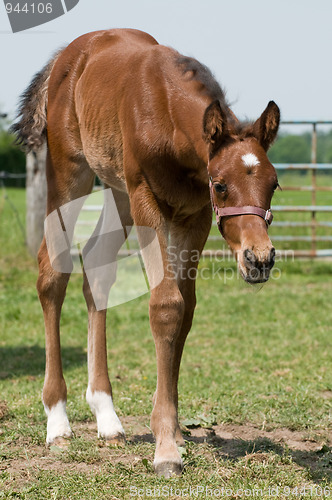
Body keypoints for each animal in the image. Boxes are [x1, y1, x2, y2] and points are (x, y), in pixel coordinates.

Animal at [14, 28, 280, 476]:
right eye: (221, 184)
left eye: (274, 184)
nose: (259, 260)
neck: (168, 118)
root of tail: (69, 54)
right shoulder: (146, 199)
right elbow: (165, 305)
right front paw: (166, 450)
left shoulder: (194, 215)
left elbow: (185, 310)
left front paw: (172, 435)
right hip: (71, 172)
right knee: (53, 271)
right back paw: (58, 422)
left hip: (117, 189)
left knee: (97, 266)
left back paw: (106, 416)